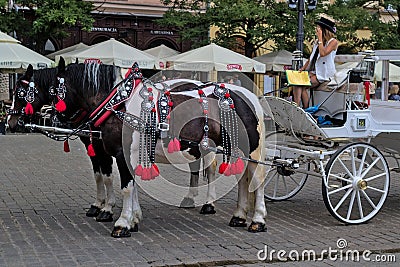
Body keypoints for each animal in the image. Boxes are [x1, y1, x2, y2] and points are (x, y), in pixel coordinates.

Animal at [51, 59, 268, 239]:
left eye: (54, 90)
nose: (54, 119)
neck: (120, 104)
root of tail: (250, 95)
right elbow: (132, 187)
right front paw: (133, 220)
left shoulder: (122, 154)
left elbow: (127, 188)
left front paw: (122, 223)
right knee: (243, 178)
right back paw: (239, 216)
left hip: (252, 150)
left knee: (257, 180)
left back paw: (257, 220)